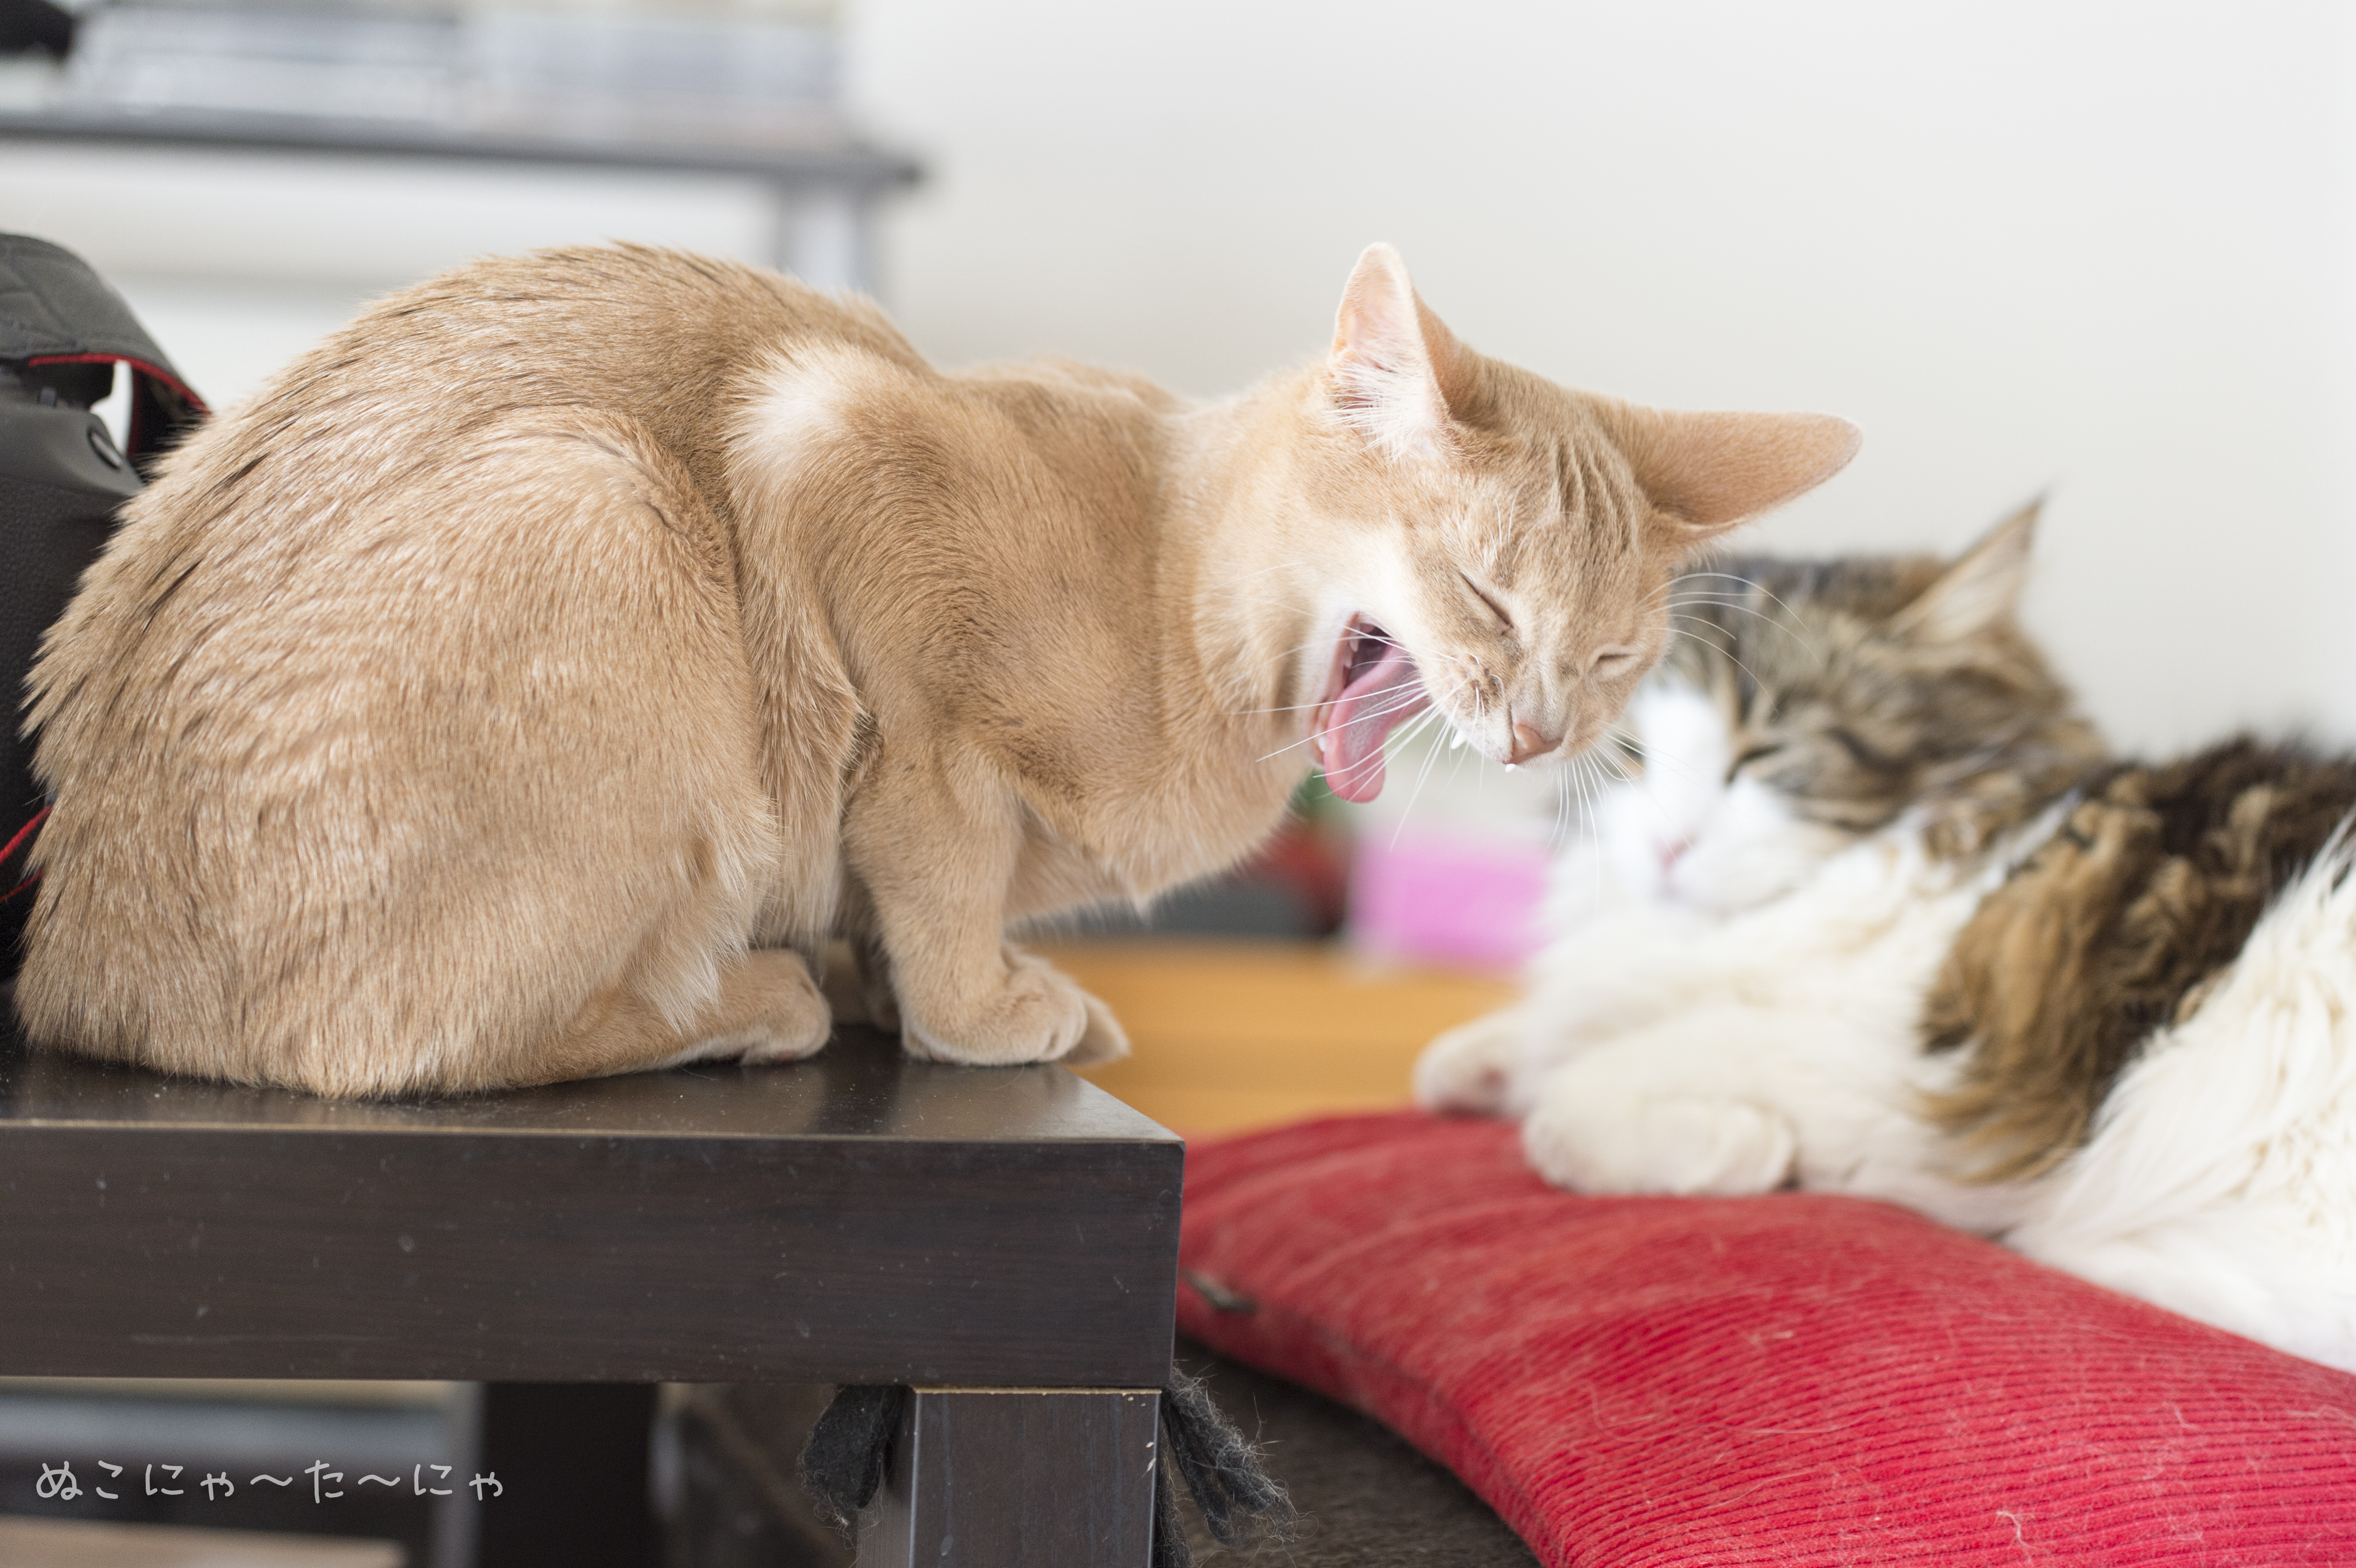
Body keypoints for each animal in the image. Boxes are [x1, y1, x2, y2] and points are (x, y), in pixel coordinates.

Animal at [13, 247, 1856, 1097]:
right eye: (1479, 595)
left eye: (1609, 654)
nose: (1536, 726)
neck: (1179, 591)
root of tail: (71, 968)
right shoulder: (837, 437)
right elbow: (937, 856)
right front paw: (974, 1009)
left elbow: (891, 901)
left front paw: (906, 984)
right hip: (603, 493)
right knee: (409, 1045)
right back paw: (739, 1000)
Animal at [1404, 503, 2356, 1365]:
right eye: (1628, 753)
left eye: (1765, 755)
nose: (1666, 846)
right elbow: (1543, 1035)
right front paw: (1482, 1061)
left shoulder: (1890, 1067)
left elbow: (1569, 1110)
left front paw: (1739, 1147)